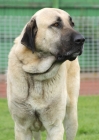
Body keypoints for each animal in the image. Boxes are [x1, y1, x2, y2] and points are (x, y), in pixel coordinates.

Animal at [6, 7, 84, 140]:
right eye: (56, 24)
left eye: (72, 24)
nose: (82, 39)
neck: (37, 73)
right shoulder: (22, 128)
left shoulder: (55, 127)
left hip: (71, 117)